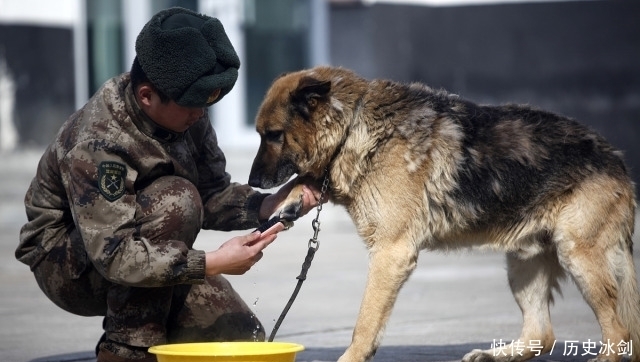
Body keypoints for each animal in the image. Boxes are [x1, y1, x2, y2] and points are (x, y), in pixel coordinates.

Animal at [248, 66, 636, 362]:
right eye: (262, 134)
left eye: (274, 135)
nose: (251, 182)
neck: (354, 124)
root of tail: (616, 158)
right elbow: (304, 178)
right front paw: (285, 201)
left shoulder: (390, 253)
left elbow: (366, 320)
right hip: (524, 262)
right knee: (542, 333)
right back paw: (492, 355)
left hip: (579, 256)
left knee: (619, 332)